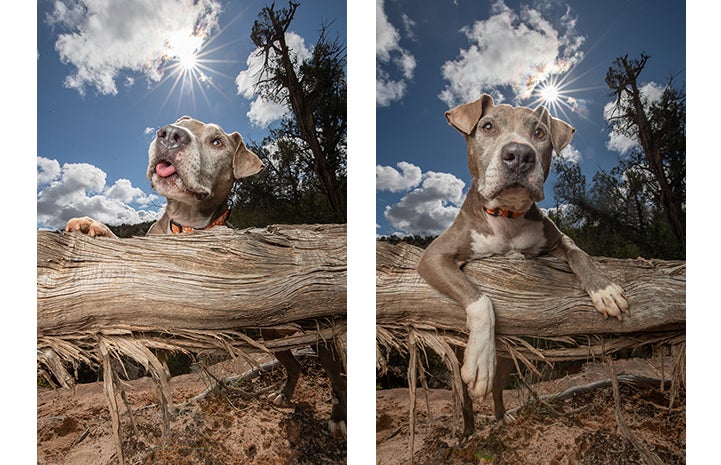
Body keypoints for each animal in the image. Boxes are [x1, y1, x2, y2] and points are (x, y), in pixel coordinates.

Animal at [67, 115, 346, 436]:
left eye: (217, 142)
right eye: (182, 124)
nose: (170, 135)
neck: (185, 222)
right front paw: (91, 226)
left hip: (319, 333)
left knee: (337, 374)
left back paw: (339, 416)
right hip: (274, 335)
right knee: (295, 365)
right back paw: (284, 395)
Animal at [414, 93, 628, 436]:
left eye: (540, 132)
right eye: (487, 126)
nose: (519, 155)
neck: (507, 217)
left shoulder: (555, 239)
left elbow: (578, 251)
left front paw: (604, 289)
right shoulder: (433, 256)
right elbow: (481, 300)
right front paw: (480, 358)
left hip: (507, 361)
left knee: (499, 389)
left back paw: (503, 419)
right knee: (467, 399)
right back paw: (468, 431)